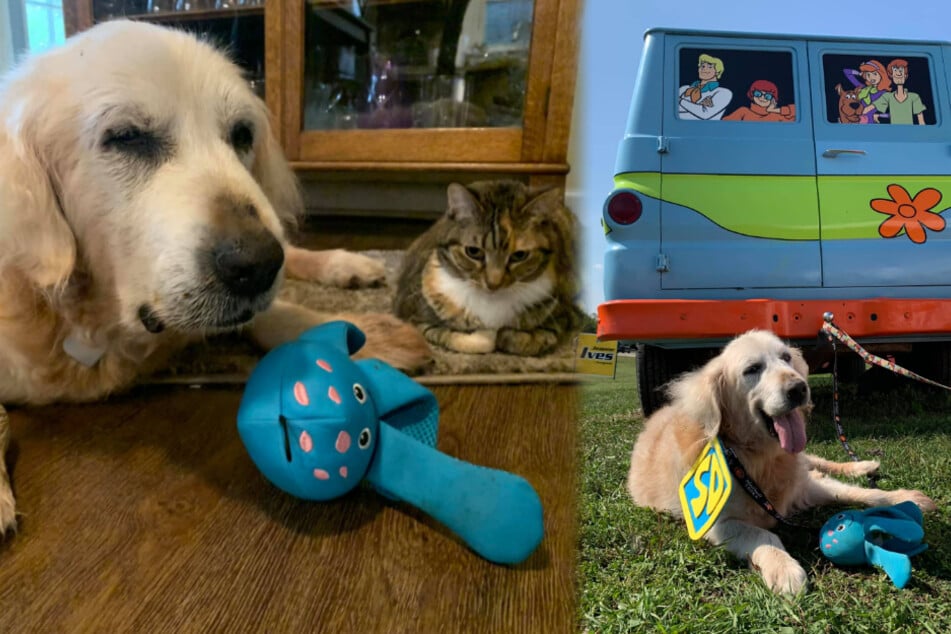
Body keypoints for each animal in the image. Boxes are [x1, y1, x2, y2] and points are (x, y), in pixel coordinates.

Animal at [392, 179, 580, 356]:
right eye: (473, 252)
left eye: (519, 255)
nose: (493, 284)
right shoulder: (415, 318)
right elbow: (465, 339)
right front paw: (486, 336)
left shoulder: (560, 317)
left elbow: (526, 340)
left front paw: (506, 335)